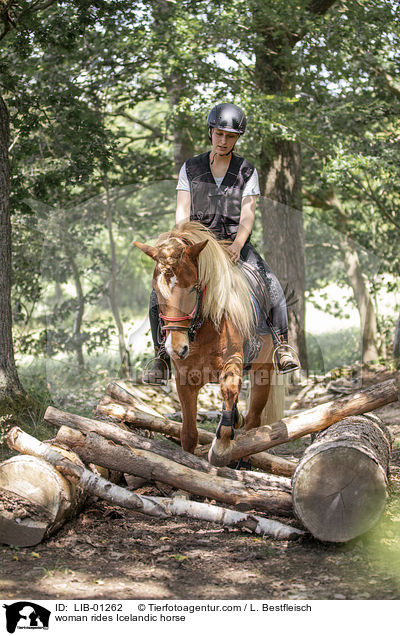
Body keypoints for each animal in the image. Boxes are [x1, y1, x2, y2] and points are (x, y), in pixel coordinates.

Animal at [134, 224, 284, 468]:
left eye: (194, 288)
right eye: (156, 289)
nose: (177, 348)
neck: (202, 327)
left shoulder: (233, 361)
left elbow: (230, 389)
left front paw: (221, 448)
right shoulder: (184, 378)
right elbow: (188, 433)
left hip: (263, 370)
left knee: (253, 421)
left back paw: (244, 460)